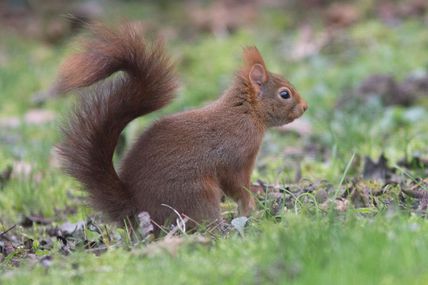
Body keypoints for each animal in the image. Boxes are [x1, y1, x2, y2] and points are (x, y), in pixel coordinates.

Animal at [56, 23, 308, 229]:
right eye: (285, 94)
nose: (305, 107)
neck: (246, 113)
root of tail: (136, 209)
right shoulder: (236, 158)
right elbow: (238, 186)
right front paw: (250, 207)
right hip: (198, 194)